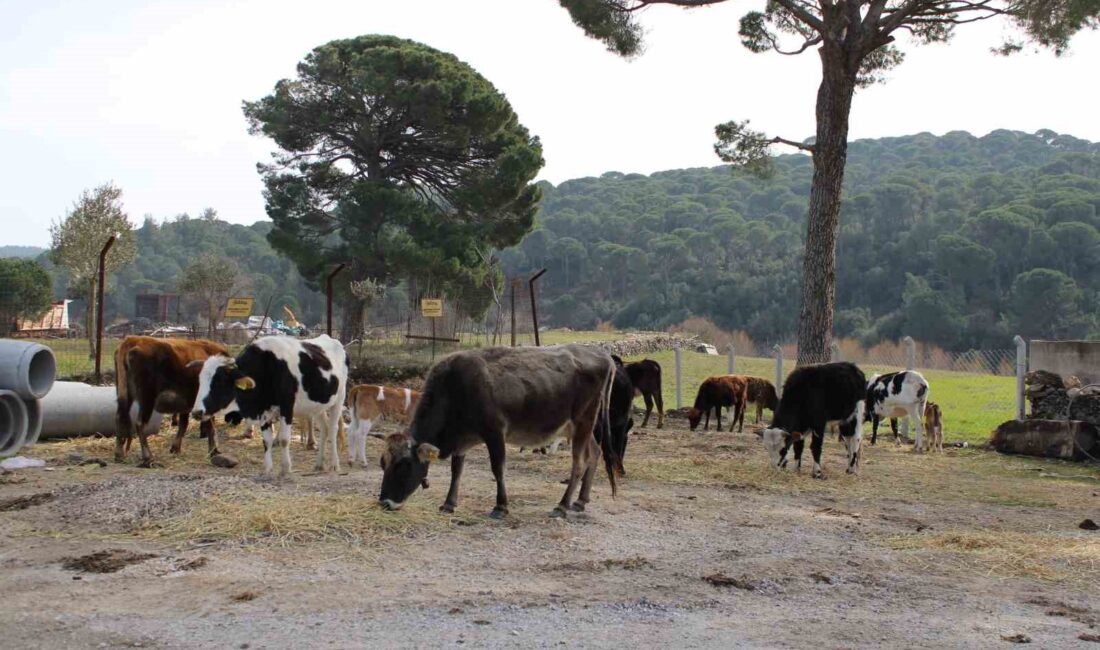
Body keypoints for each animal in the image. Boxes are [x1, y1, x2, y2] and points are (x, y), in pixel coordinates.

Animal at [113, 336, 227, 468]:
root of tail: (133, 339)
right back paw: (148, 458)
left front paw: (175, 448)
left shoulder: (186, 405)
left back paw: (119, 455)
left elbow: (184, 424)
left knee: (120, 417)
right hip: (147, 399)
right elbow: (210, 426)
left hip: (125, 396)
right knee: (140, 423)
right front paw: (213, 451)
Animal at [378, 345, 620, 519]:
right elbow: (457, 470)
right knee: (595, 453)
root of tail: (602, 354)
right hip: (580, 427)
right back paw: (580, 501)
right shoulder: (461, 440)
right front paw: (449, 503)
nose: (385, 503)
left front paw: (501, 506)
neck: (455, 388)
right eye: (383, 463)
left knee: (579, 462)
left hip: (583, 421)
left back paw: (562, 505)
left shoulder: (494, 432)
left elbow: (498, 468)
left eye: (404, 465)